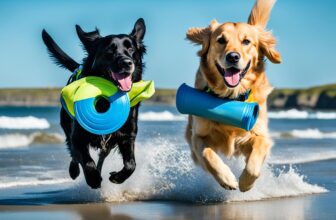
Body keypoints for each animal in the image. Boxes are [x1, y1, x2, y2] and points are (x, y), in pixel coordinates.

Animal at [41, 18, 146, 188]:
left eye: (131, 49)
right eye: (110, 50)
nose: (127, 63)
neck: (105, 99)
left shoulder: (127, 135)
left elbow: (131, 164)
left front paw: (117, 177)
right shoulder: (78, 136)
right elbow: (86, 160)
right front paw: (94, 179)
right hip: (66, 125)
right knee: (73, 154)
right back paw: (74, 171)